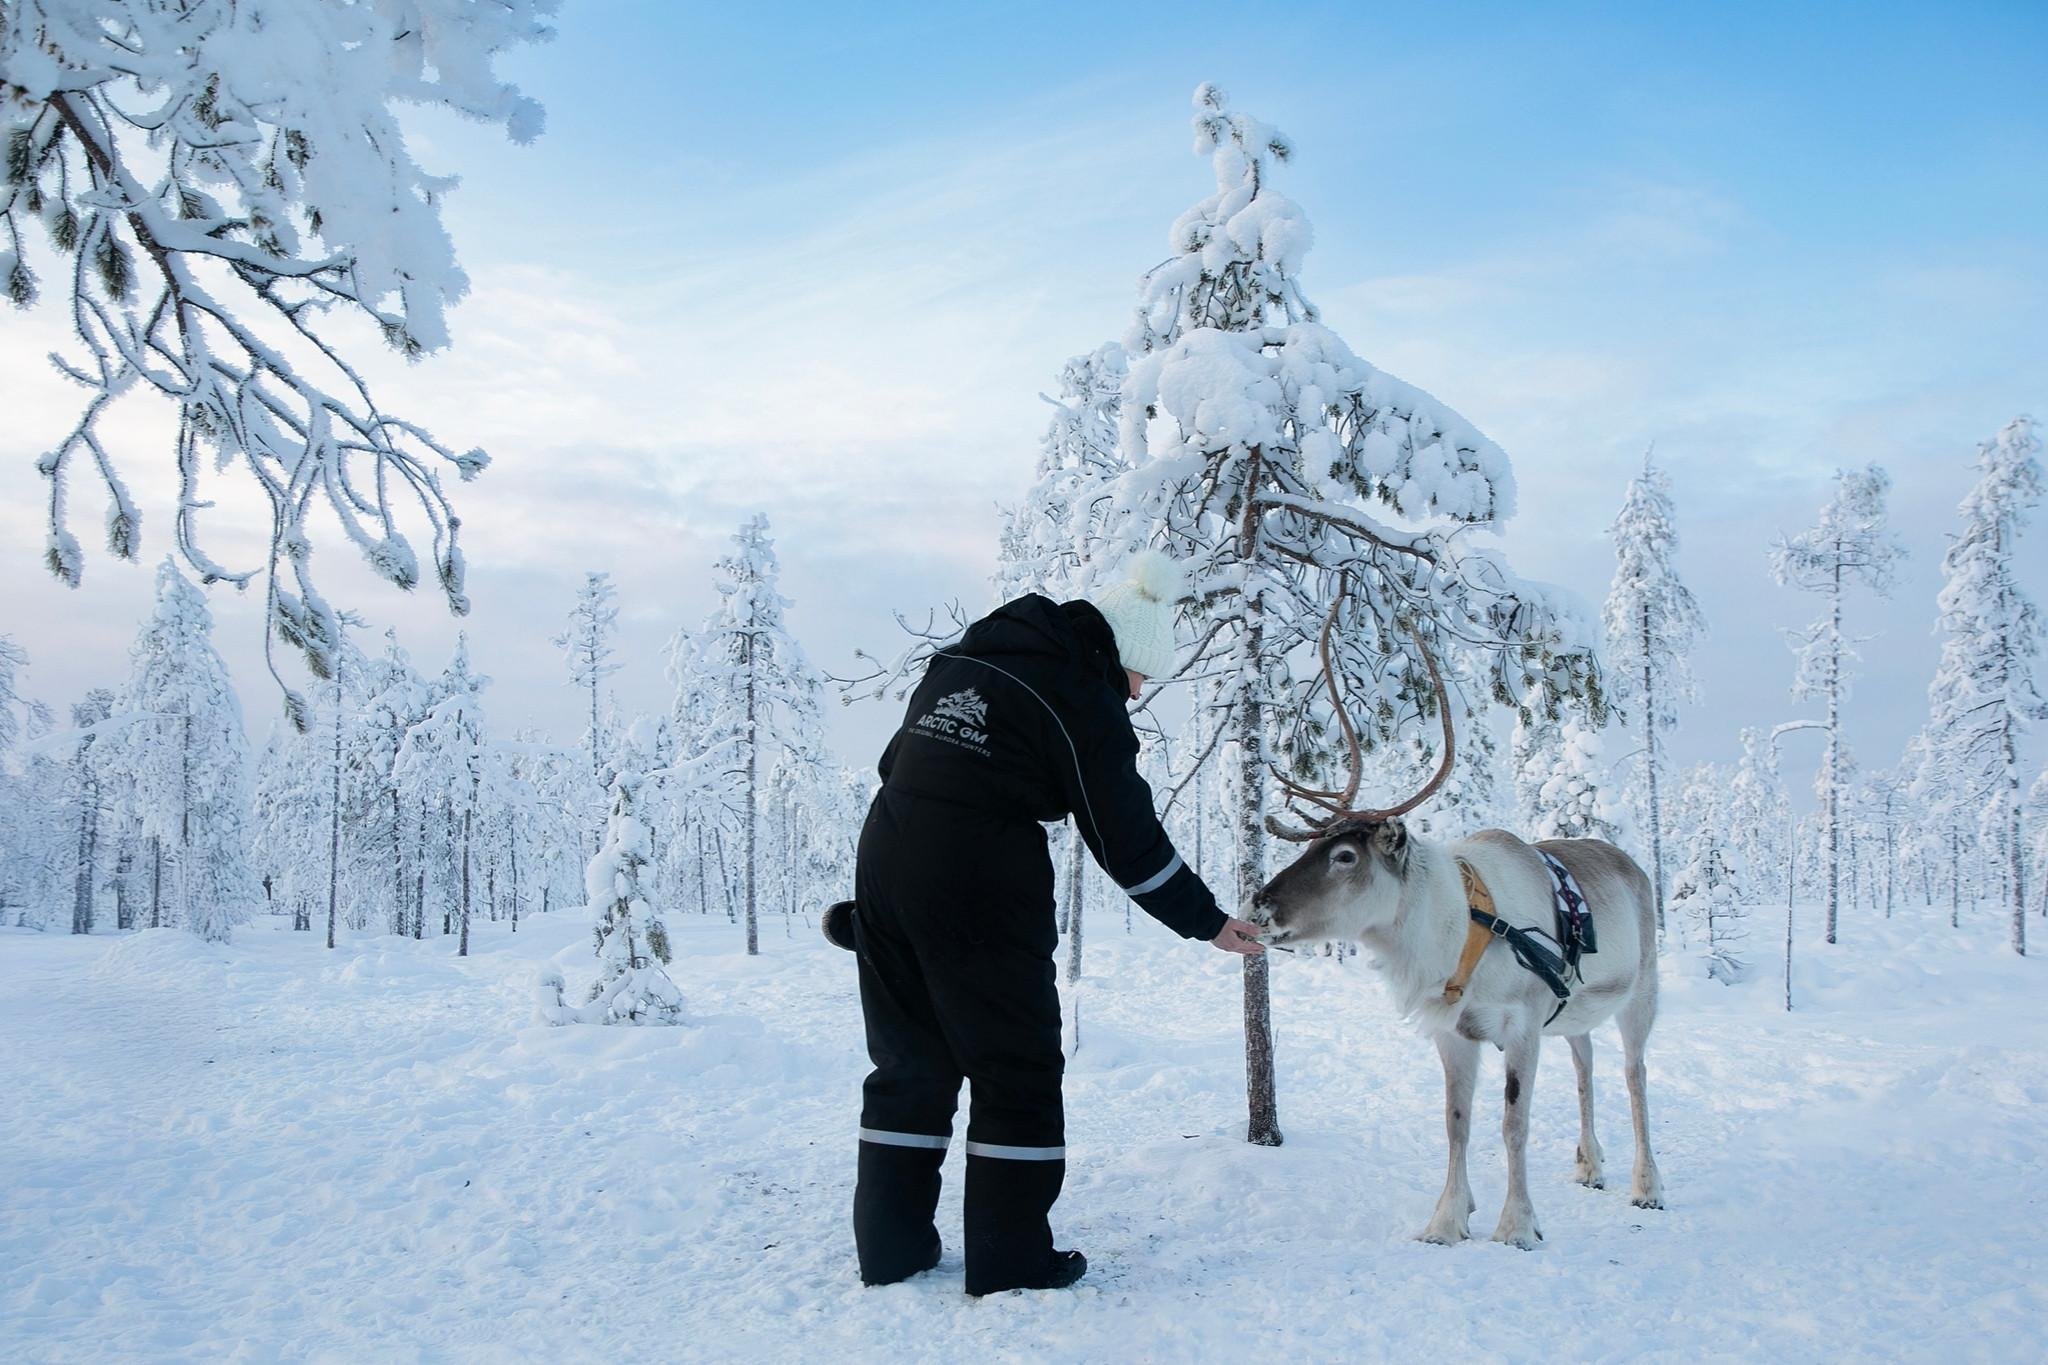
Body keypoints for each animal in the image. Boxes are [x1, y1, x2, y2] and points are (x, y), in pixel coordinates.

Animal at [1249, 583, 1664, 1250]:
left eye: (1344, 856)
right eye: (1311, 846)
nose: (1258, 905)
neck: (1450, 931)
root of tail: (1633, 864)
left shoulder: (1522, 1026)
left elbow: (1513, 1125)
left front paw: (1517, 1225)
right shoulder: (1452, 1034)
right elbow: (1456, 1122)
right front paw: (1447, 1220)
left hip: (1642, 993)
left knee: (1635, 1072)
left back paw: (1646, 1184)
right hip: (1574, 1013)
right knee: (1586, 1065)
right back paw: (1589, 1164)